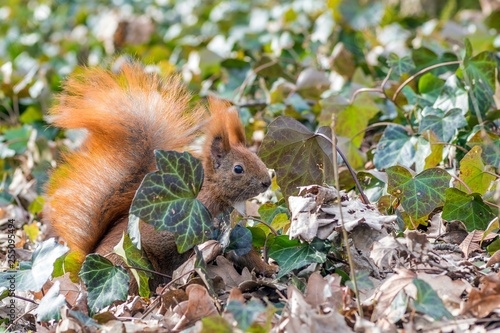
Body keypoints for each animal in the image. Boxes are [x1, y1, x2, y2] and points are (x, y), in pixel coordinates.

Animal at [45, 61, 274, 288]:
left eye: (255, 156)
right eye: (238, 169)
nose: (267, 182)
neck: (222, 198)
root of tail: (85, 270)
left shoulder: (235, 233)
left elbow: (247, 255)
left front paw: (269, 268)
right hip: (132, 264)